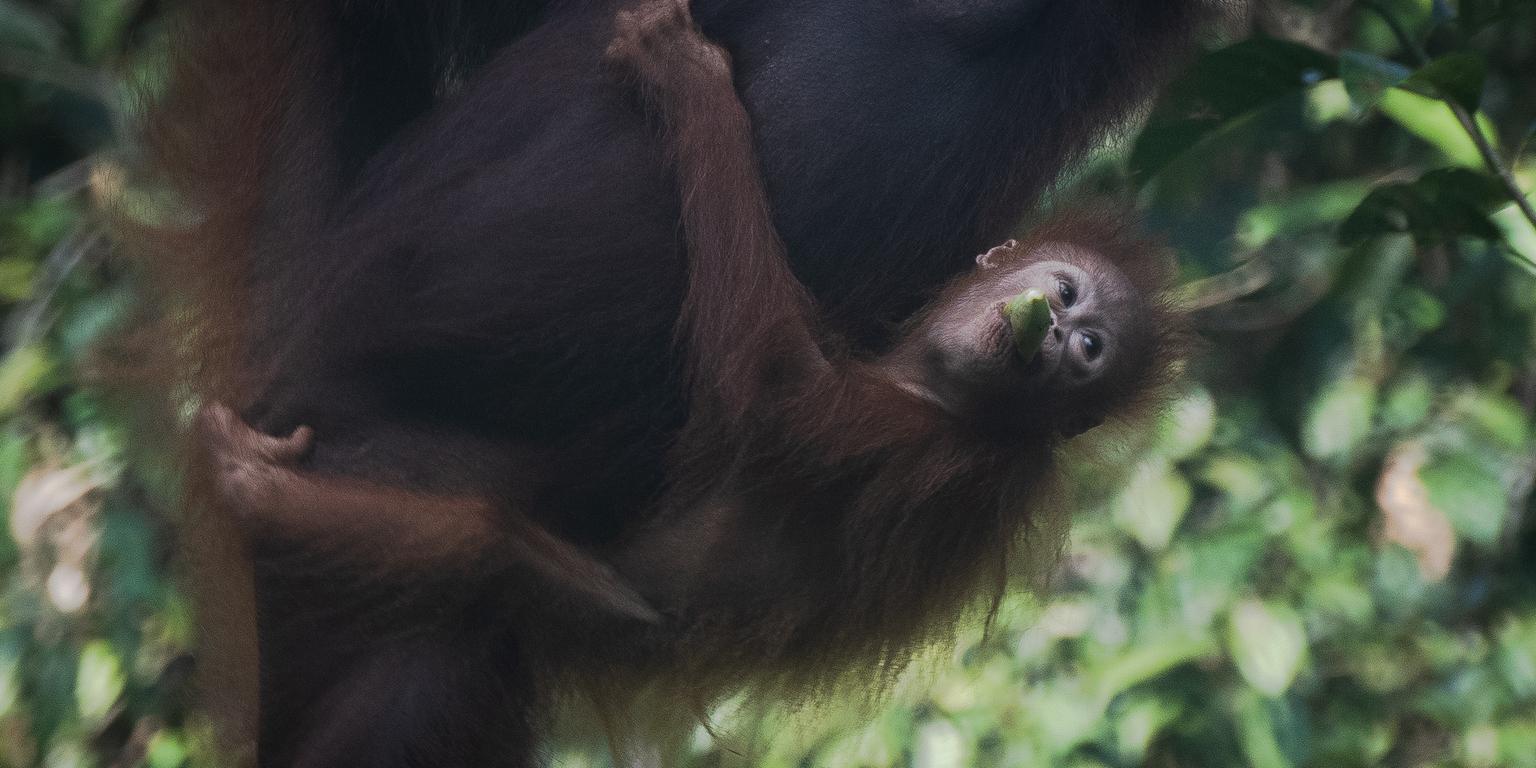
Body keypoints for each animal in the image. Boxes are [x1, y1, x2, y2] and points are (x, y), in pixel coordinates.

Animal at [182, 4, 1185, 764]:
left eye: (1094, 348)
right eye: (1067, 297)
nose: (1061, 341)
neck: (946, 393)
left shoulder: (916, 441)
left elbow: (767, 378)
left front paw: (687, 80)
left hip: (573, 611)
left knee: (483, 551)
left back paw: (251, 487)